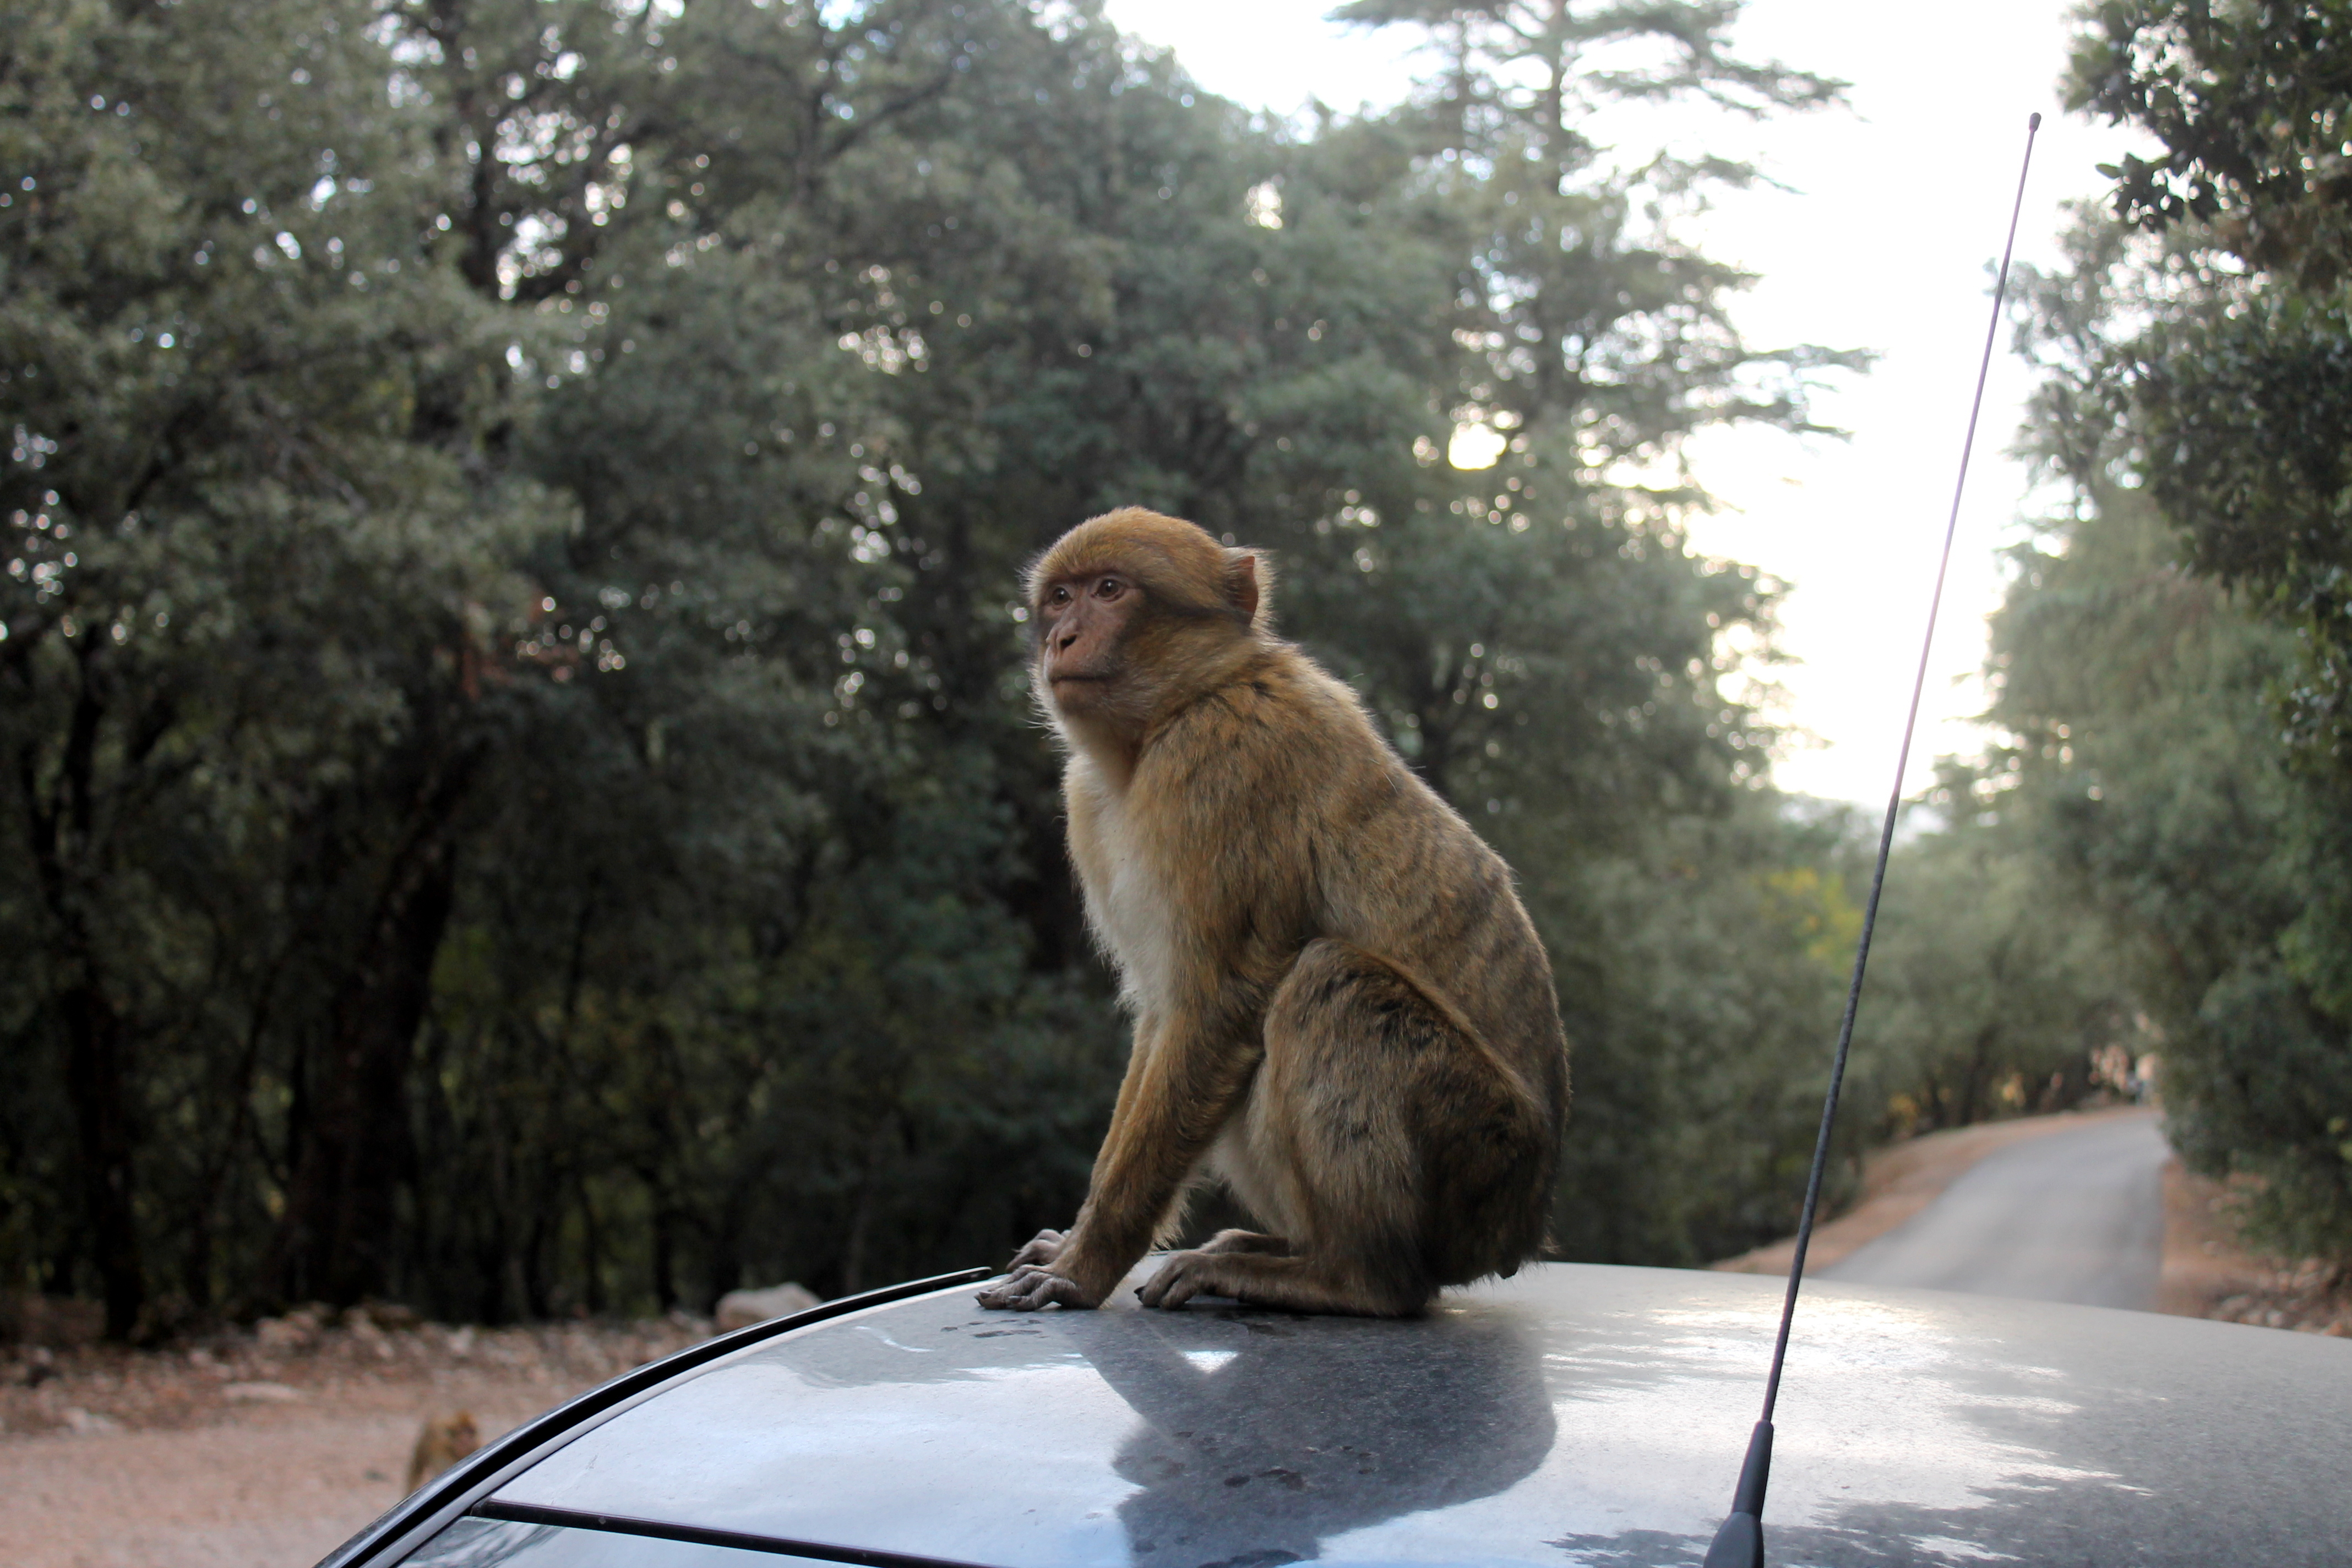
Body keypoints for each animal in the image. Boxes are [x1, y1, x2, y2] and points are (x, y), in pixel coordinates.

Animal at [976, 507, 1568, 1318]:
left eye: (1110, 590)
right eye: (1061, 597)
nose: (1060, 639)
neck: (1181, 707)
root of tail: (1523, 1231)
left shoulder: (1220, 766)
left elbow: (1218, 1003)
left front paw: (1088, 1263)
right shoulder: (1092, 801)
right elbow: (1165, 1011)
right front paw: (1075, 1238)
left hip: (1480, 1161)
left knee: (1334, 981)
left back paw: (1349, 1277)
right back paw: (1276, 1249)